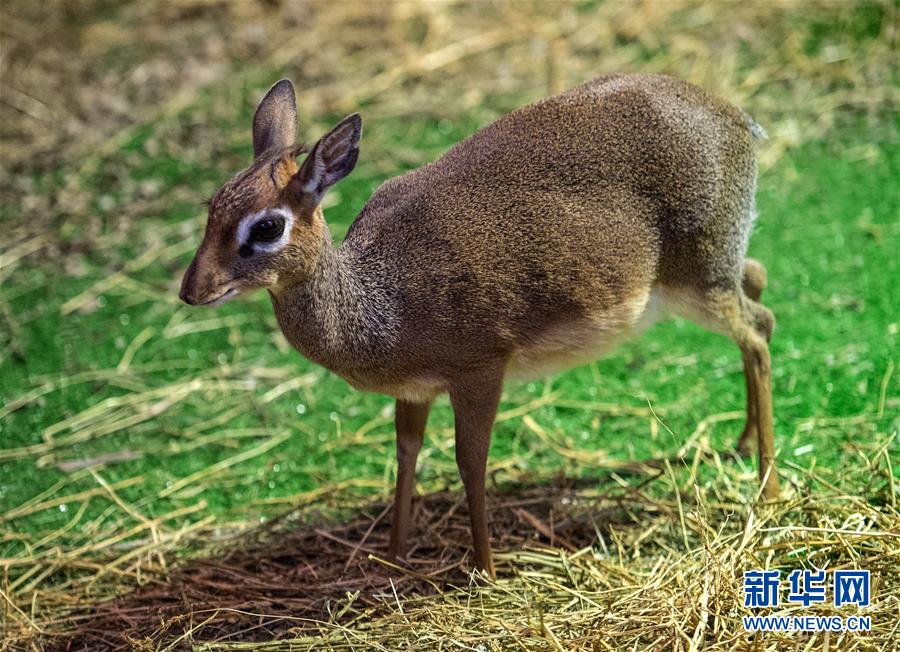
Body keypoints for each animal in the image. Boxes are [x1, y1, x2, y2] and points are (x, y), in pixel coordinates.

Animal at [179, 74, 776, 580]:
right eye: (212, 207)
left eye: (267, 226)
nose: (191, 289)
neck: (380, 305)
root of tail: (737, 118)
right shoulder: (414, 390)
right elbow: (406, 452)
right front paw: (393, 555)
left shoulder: (481, 369)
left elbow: (471, 461)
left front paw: (484, 569)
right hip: (714, 273)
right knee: (759, 283)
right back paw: (742, 443)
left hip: (699, 280)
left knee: (759, 328)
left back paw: (766, 486)